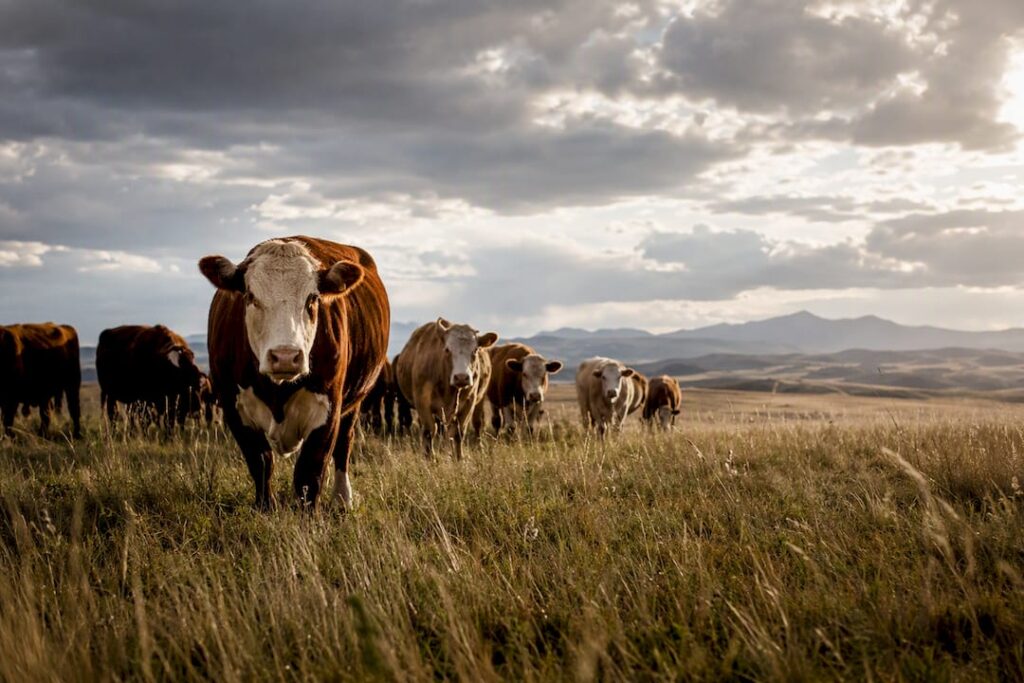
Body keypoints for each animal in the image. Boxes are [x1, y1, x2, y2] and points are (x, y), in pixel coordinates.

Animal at [199, 236, 389, 510]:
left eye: (312, 298)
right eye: (250, 296)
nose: (285, 356)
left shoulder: (328, 410)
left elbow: (309, 473)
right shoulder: (233, 407)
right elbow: (261, 463)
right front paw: (265, 508)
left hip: (355, 401)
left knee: (344, 444)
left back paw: (342, 498)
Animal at [394, 318, 497, 459]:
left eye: (475, 350)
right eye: (447, 349)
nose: (461, 377)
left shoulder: (469, 403)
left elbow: (459, 432)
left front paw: (459, 458)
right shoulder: (422, 403)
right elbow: (429, 431)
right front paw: (430, 458)